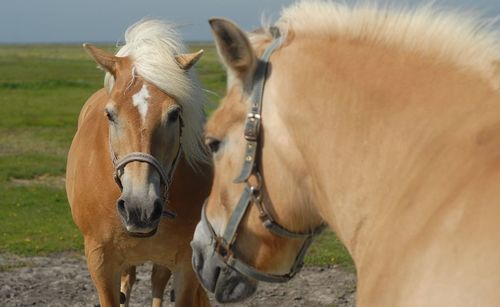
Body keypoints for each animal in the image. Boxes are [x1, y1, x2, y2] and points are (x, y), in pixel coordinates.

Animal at [65, 19, 210, 307]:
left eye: (174, 114)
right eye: (110, 114)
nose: (139, 208)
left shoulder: (185, 264)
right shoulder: (100, 261)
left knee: (157, 281)